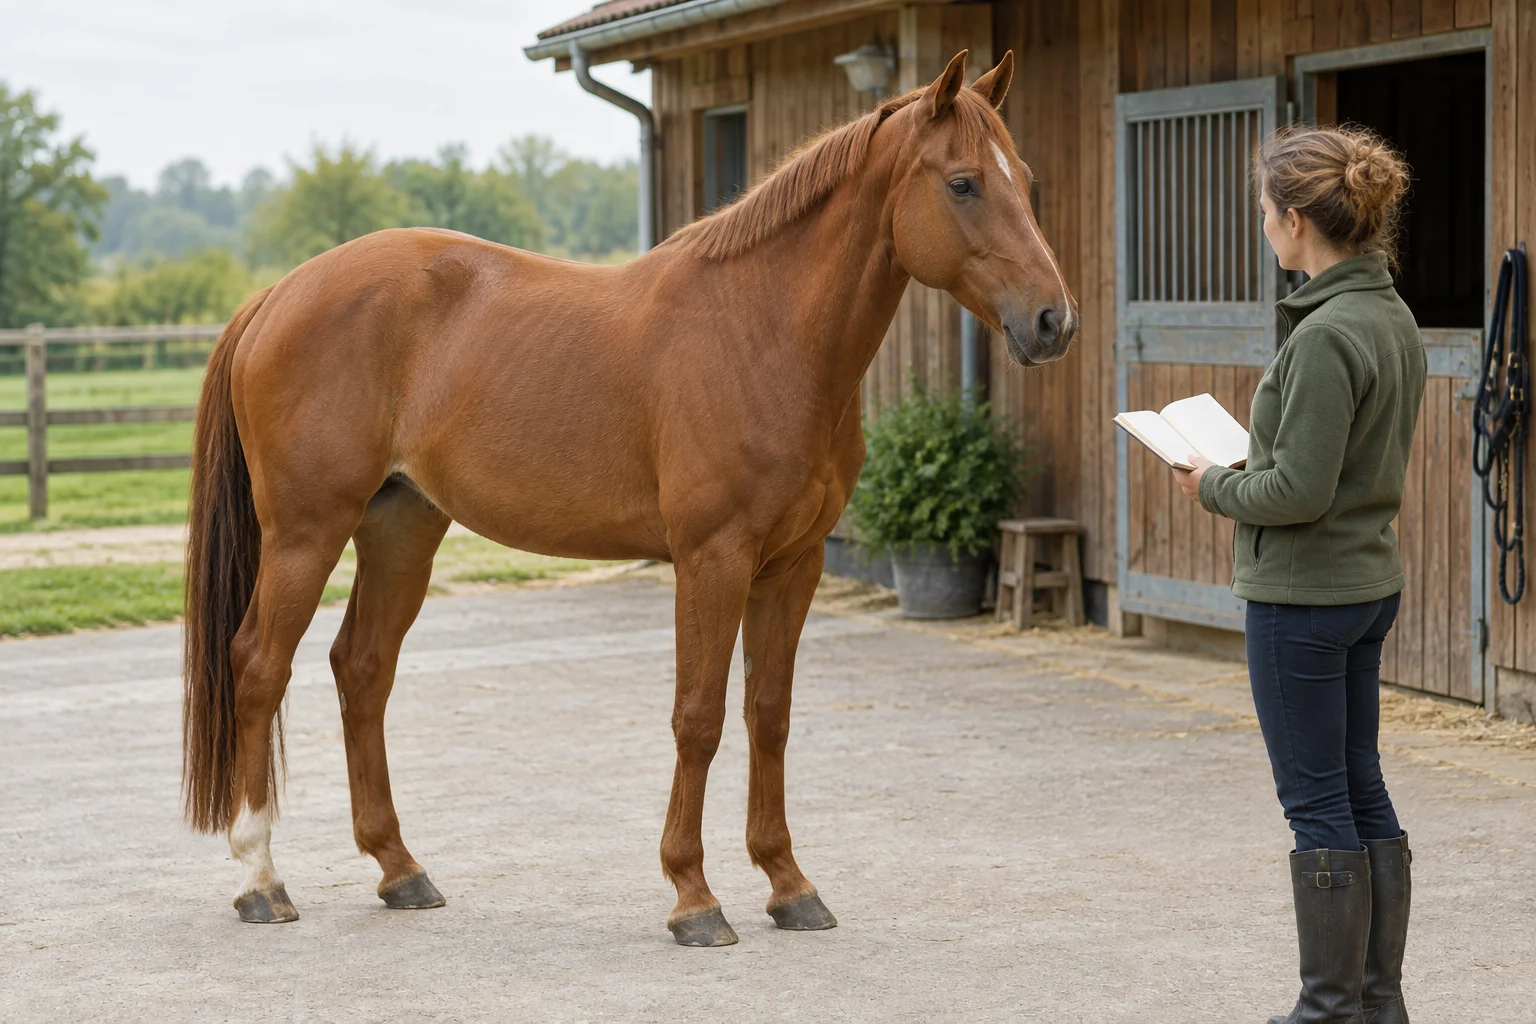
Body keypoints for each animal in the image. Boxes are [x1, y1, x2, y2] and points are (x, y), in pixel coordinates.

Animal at [182, 49, 1076, 947]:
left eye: (1028, 178)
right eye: (962, 183)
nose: (1053, 322)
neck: (763, 332)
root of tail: (277, 296)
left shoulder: (794, 565)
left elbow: (769, 713)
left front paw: (789, 884)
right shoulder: (712, 559)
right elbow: (699, 716)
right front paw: (694, 897)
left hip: (402, 527)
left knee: (362, 669)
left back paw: (401, 869)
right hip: (307, 531)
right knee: (259, 665)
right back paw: (260, 879)